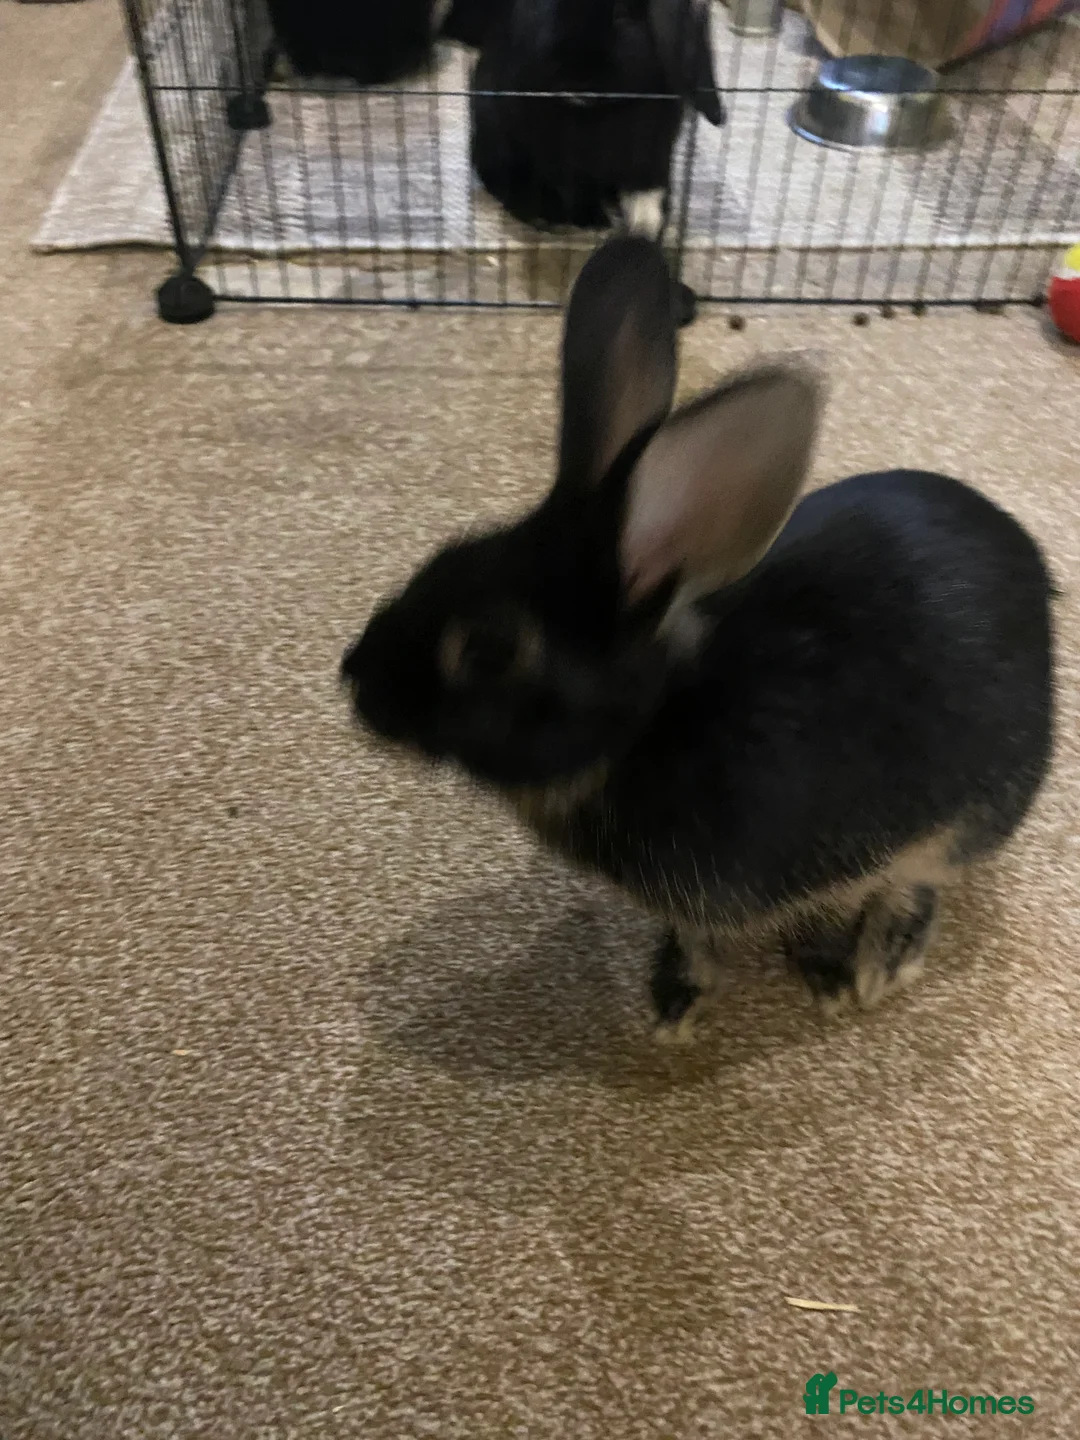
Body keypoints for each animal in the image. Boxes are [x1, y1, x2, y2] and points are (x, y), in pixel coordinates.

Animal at [341, 235, 1055, 1044]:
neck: (651, 726)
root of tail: (1032, 568)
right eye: (440, 561)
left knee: (921, 885)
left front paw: (825, 978)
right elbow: (697, 937)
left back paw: (880, 962)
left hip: (971, 816)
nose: (356, 678)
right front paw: (673, 1000)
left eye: (491, 647)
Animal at [469, 0, 725, 238]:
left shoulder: (651, 150)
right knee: (501, 176)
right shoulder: (557, 149)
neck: (599, 111)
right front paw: (593, 221)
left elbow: (645, 189)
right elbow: (574, 186)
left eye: (622, 13)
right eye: (552, 8)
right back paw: (544, 216)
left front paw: (649, 224)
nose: (576, 75)